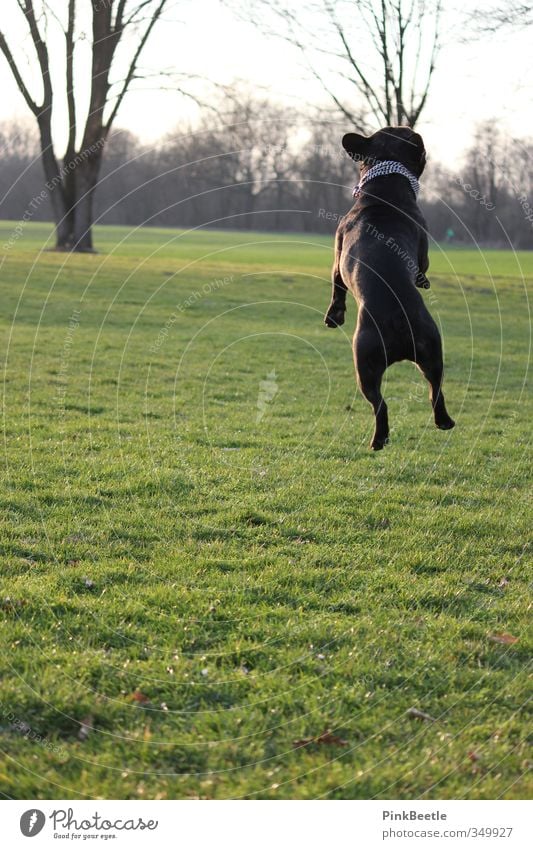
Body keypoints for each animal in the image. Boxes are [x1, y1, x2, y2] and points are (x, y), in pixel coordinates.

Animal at [324, 126, 454, 450]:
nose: (412, 130)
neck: (384, 185)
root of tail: (398, 317)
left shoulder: (337, 255)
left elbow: (337, 288)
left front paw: (334, 317)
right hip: (427, 353)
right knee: (433, 390)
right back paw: (440, 422)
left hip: (366, 363)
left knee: (382, 404)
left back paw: (380, 438)